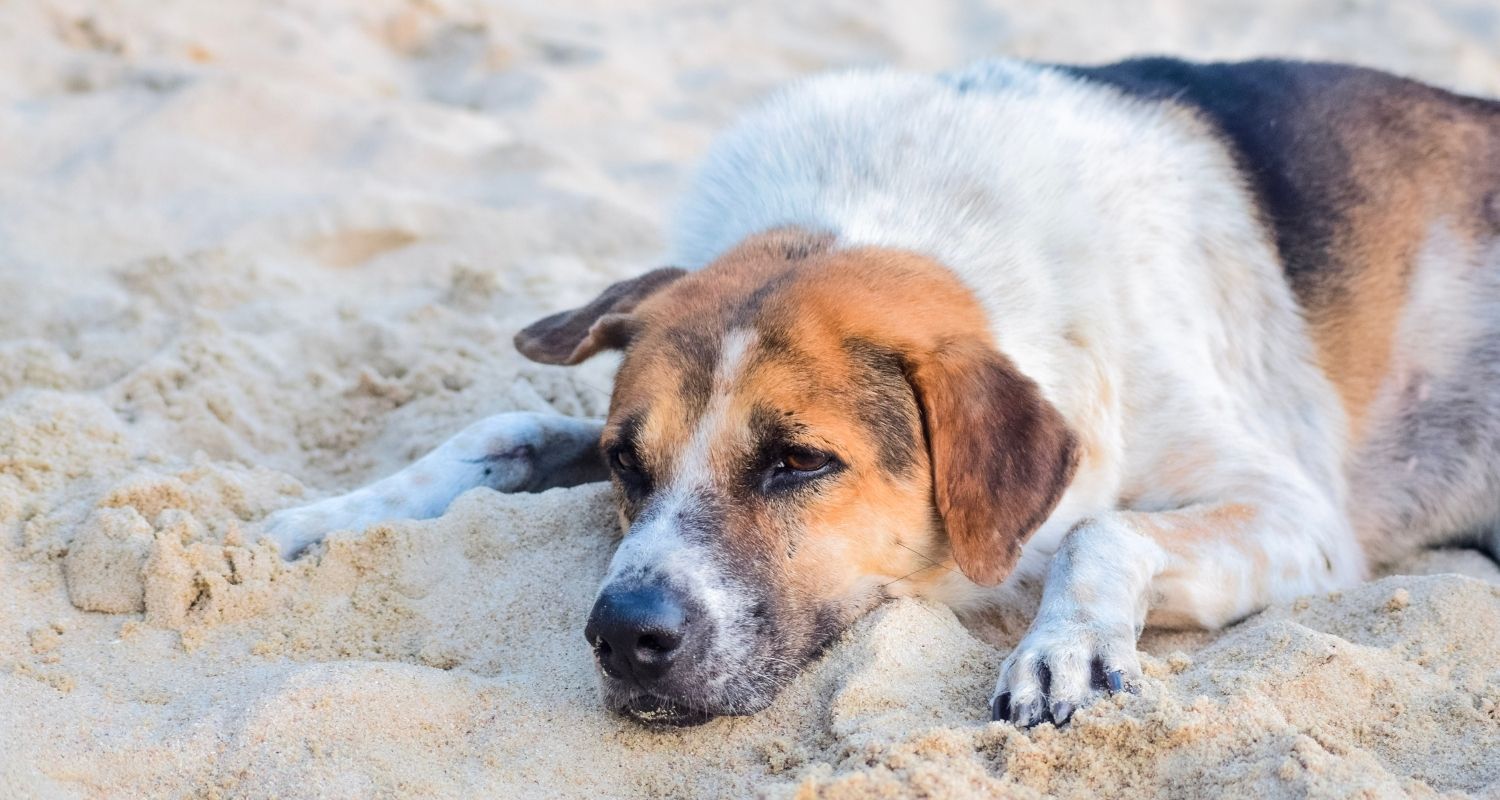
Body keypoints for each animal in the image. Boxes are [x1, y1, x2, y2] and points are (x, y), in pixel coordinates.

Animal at [264, 59, 1500, 726]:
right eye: (625, 462)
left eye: (799, 461)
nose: (621, 637)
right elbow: (504, 423)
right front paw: (325, 519)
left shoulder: (1299, 515)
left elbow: (1100, 526)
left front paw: (1063, 646)